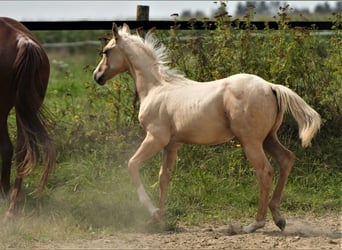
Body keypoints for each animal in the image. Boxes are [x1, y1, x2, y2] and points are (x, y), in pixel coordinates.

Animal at [93, 23, 320, 232]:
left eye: (106, 51)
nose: (97, 76)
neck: (156, 89)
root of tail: (271, 86)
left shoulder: (155, 138)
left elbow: (132, 165)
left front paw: (153, 212)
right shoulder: (172, 143)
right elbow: (163, 177)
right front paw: (158, 220)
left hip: (251, 142)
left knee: (265, 171)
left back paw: (255, 224)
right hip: (268, 138)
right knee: (286, 159)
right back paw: (278, 218)